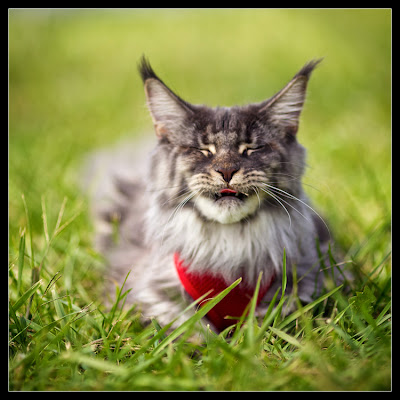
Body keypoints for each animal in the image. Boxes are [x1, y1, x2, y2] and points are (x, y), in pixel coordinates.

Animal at [85, 54, 338, 332]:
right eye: (203, 150)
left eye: (252, 148)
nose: (226, 171)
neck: (228, 247)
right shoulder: (149, 294)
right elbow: (190, 330)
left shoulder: (310, 279)